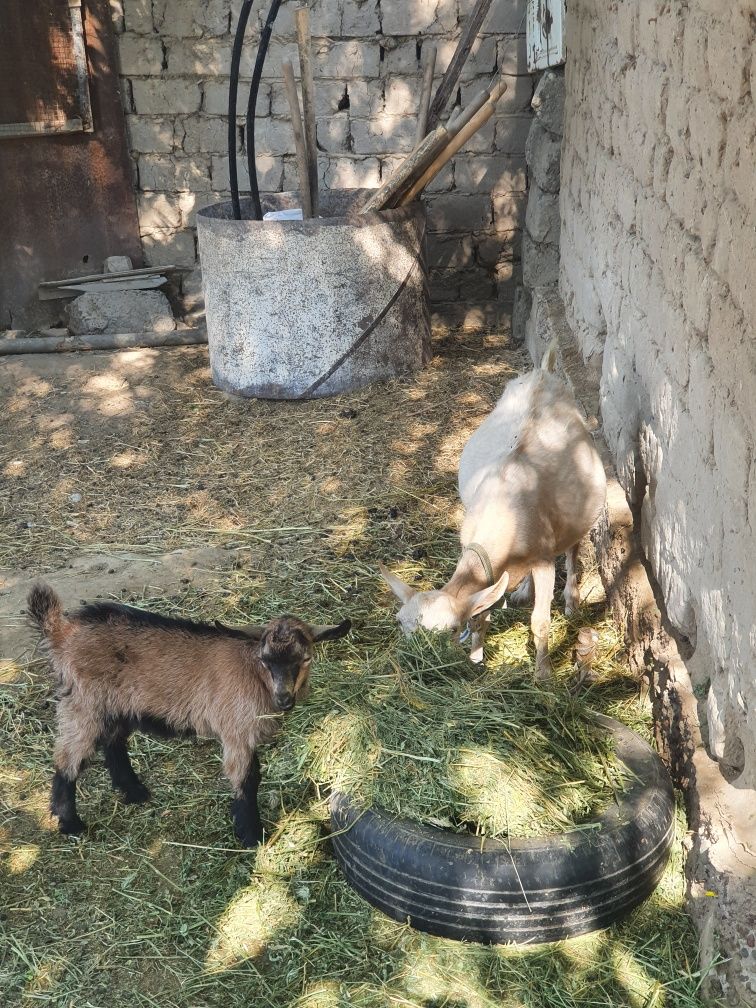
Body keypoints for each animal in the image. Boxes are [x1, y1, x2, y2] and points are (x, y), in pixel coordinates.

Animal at [27, 583, 350, 846]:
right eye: (265, 660)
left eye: (305, 658)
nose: (284, 698)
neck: (254, 674)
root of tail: (61, 631)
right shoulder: (237, 731)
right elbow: (247, 779)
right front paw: (251, 835)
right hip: (83, 703)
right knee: (68, 757)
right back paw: (70, 822)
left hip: (115, 705)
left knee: (113, 742)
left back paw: (134, 792)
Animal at [380, 342, 607, 678]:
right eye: (398, 622)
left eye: (449, 630)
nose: (414, 666)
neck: (503, 514)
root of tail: (544, 372)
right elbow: (480, 616)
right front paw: (477, 658)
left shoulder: (543, 560)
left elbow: (540, 621)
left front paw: (542, 673)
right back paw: (524, 591)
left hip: (578, 514)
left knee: (572, 549)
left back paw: (570, 602)